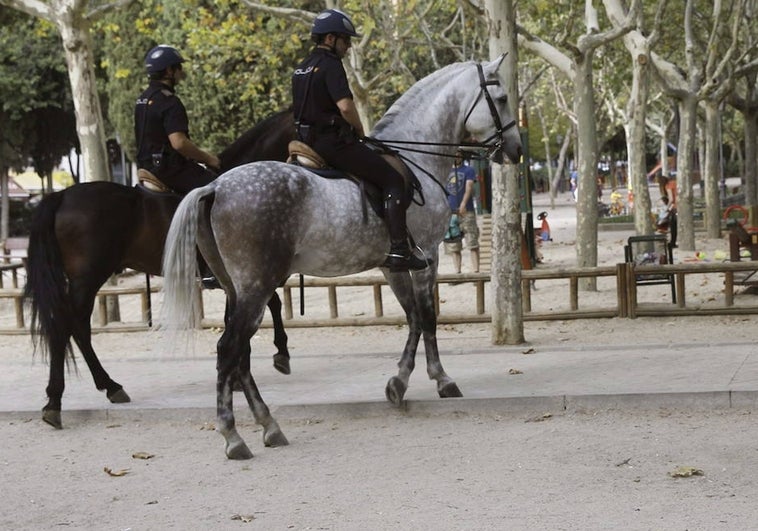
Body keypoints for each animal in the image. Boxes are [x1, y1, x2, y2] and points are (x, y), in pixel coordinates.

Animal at [26, 108, 296, 428]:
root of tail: (62, 196)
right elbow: (271, 305)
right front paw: (279, 354)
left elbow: (241, 316)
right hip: (87, 277)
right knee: (69, 326)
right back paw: (60, 399)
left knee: (76, 327)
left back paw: (106, 387)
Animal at [163, 57, 524, 458]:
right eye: (502, 98)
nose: (516, 149)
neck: (416, 158)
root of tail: (215, 186)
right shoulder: (428, 256)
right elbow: (428, 318)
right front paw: (441, 380)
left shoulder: (393, 265)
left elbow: (413, 318)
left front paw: (398, 383)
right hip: (257, 287)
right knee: (230, 350)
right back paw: (234, 436)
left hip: (237, 289)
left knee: (239, 355)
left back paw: (269, 426)